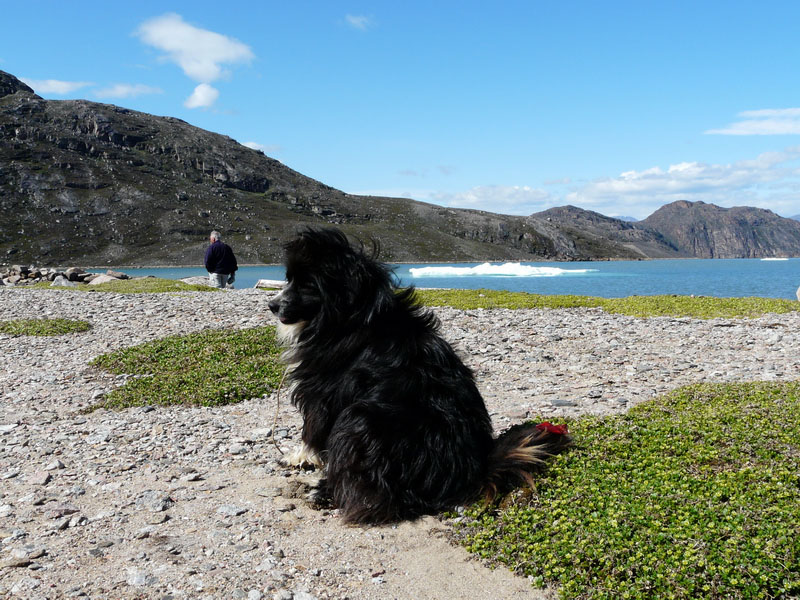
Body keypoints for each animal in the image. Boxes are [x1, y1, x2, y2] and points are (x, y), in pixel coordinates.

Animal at [268, 227, 568, 524]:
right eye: (289, 279)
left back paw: (326, 491)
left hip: (359, 418)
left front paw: (299, 458)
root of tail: (465, 477)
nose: (272, 305)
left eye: (307, 284)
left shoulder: (321, 394)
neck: (355, 315)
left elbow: (311, 431)